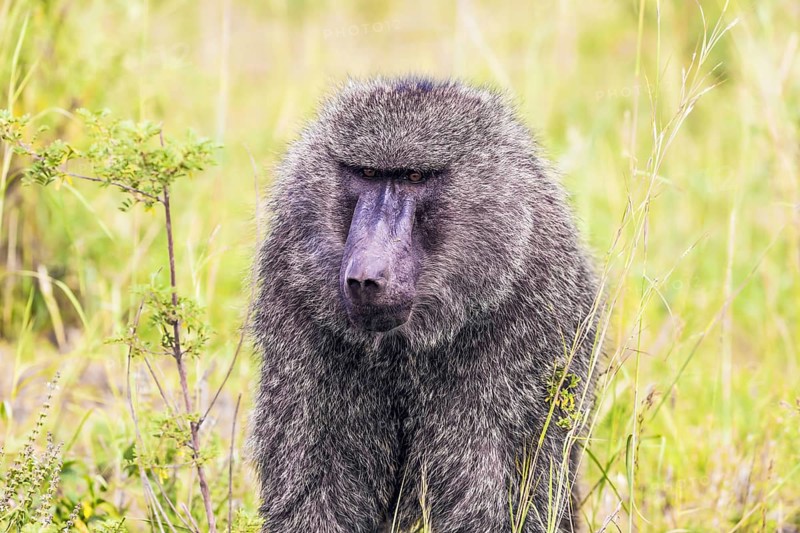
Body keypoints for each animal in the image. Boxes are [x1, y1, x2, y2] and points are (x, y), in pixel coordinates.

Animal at [248, 77, 600, 533]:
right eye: (368, 173)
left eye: (414, 176)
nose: (366, 277)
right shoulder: (296, 291)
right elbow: (315, 490)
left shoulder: (528, 313)